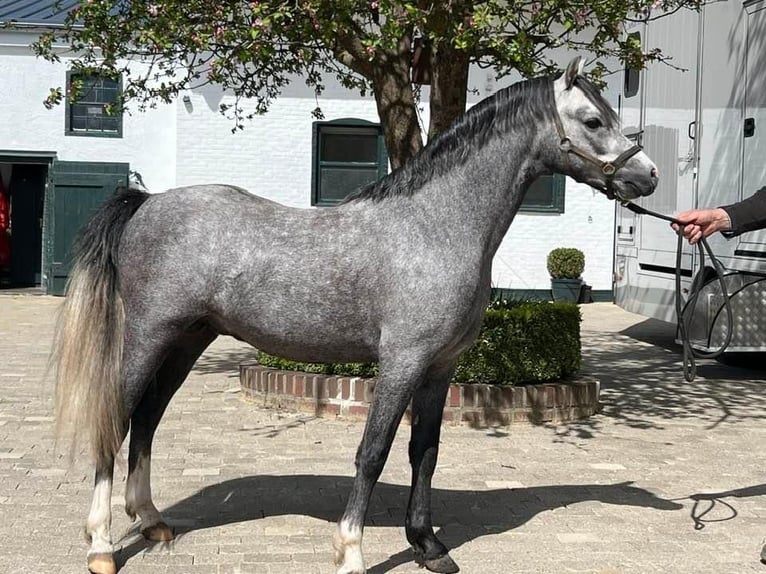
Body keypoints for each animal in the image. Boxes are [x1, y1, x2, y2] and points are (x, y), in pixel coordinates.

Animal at [53, 57, 657, 574]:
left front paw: (428, 546)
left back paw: (152, 521)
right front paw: (351, 551)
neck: (435, 227)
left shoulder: (440, 368)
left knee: (148, 418)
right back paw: (101, 545)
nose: (647, 177)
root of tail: (147, 203)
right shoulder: (401, 363)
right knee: (117, 417)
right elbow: (373, 453)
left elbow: (424, 450)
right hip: (150, 335)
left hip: (187, 340)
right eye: (593, 120)